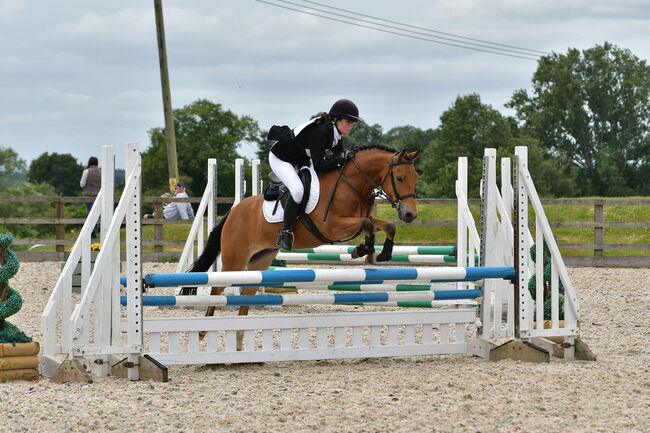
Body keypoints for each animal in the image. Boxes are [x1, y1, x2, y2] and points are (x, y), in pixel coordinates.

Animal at [187, 143, 420, 332]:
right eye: (399, 178)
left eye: (415, 177)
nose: (410, 215)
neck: (350, 184)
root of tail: (233, 212)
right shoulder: (332, 226)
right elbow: (367, 225)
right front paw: (364, 250)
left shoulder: (363, 217)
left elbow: (387, 226)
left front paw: (381, 254)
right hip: (235, 259)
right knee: (217, 289)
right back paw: (204, 331)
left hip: (260, 260)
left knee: (246, 293)